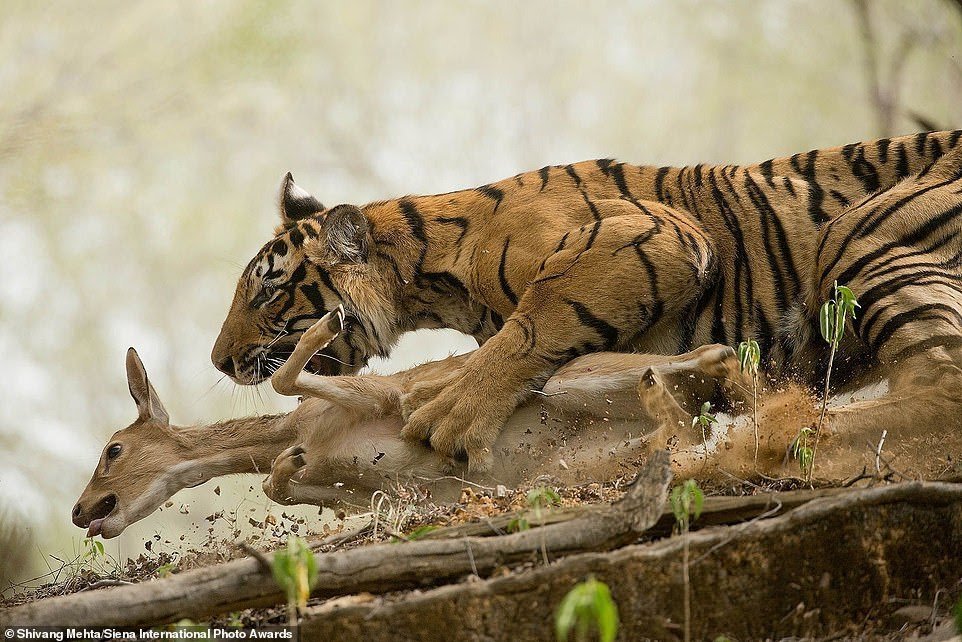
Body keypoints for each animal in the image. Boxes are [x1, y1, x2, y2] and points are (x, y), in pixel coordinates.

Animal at [210, 130, 960, 470]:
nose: (218, 362)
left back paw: (760, 439)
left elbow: (536, 321)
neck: (433, 273)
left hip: (861, 238)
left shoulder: (655, 234)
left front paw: (453, 411)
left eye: (268, 287)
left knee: (940, 386)